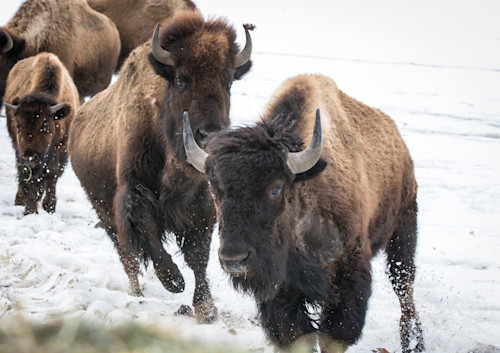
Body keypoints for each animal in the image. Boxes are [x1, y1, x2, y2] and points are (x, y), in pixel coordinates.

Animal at [3, 52, 79, 214]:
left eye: (46, 125)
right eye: (18, 125)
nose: (30, 158)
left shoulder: (60, 148)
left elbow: (51, 174)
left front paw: (49, 207)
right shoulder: (22, 152)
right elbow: (30, 178)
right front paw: (30, 211)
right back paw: (20, 200)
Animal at [68, 11, 252, 324]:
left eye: (228, 81)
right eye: (180, 78)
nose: (209, 134)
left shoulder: (200, 203)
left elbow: (197, 255)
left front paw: (206, 308)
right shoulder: (134, 191)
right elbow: (148, 230)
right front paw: (173, 281)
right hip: (103, 210)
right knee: (127, 256)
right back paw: (137, 294)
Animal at [184, 73, 426, 350]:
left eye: (276, 188)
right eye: (215, 189)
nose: (233, 258)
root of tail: (400, 144)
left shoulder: (350, 274)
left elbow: (335, 335)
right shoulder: (282, 291)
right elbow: (298, 334)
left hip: (404, 230)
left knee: (404, 286)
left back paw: (413, 342)